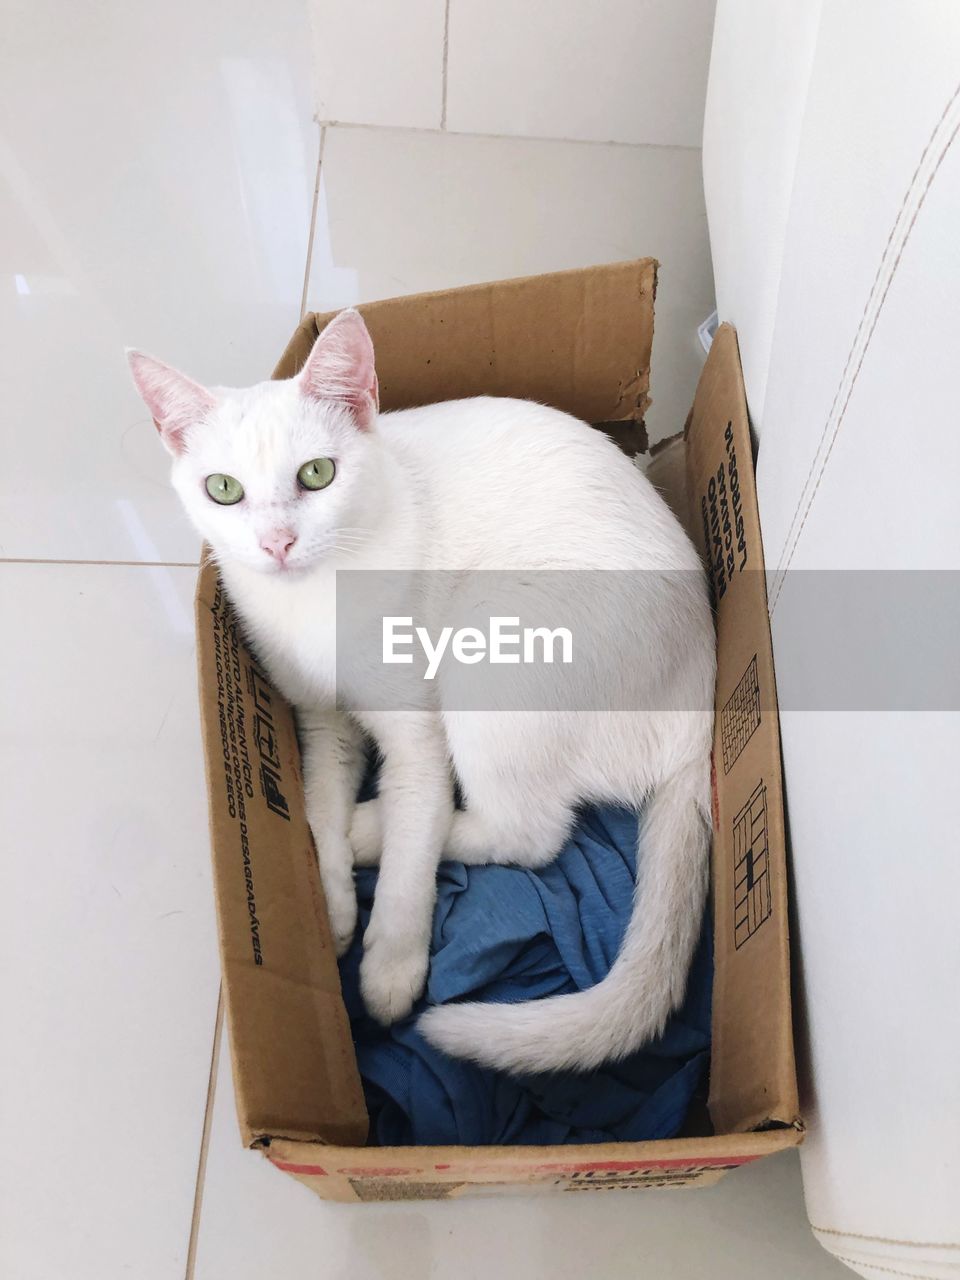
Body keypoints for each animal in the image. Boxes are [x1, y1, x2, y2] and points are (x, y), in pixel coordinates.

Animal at [128, 312, 716, 1080]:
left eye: (317, 474)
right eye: (222, 489)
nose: (278, 542)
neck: (317, 602)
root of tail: (700, 720)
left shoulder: (416, 732)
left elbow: (417, 830)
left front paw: (389, 966)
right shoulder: (318, 722)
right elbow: (315, 801)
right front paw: (332, 902)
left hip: (492, 646)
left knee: (526, 833)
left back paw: (370, 827)